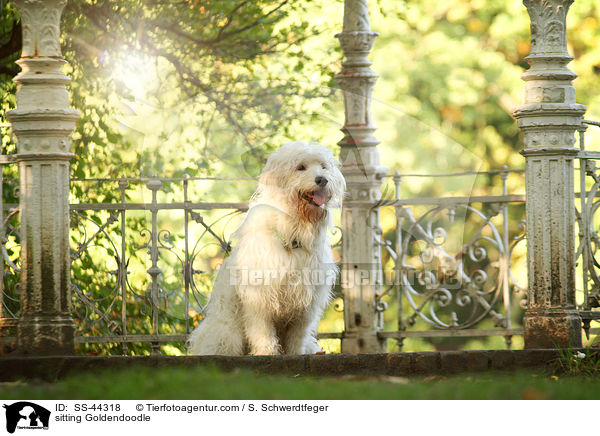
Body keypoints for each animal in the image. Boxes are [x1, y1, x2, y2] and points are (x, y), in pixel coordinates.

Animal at [188, 141, 346, 356]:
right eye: (301, 167)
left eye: (323, 166)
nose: (322, 180)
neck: (292, 232)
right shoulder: (259, 297)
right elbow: (262, 331)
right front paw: (267, 353)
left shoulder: (305, 304)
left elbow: (297, 336)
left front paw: (294, 354)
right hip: (226, 335)